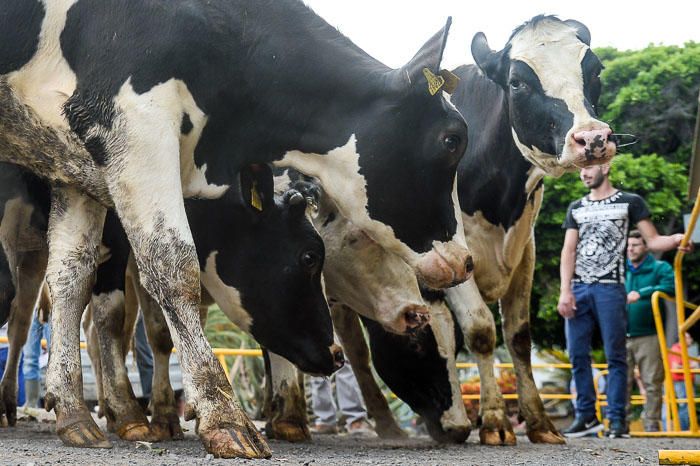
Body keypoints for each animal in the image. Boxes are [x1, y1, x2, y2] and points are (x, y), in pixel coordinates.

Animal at [1, 0, 470, 458]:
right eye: (452, 141)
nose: (465, 262)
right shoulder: (134, 127)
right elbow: (170, 271)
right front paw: (221, 416)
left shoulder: (73, 164)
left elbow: (73, 279)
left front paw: (74, 412)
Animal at [446, 14, 616, 444]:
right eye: (517, 82)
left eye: (595, 70)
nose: (593, 138)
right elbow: (480, 330)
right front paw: (494, 420)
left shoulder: (526, 248)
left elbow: (519, 337)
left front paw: (538, 421)